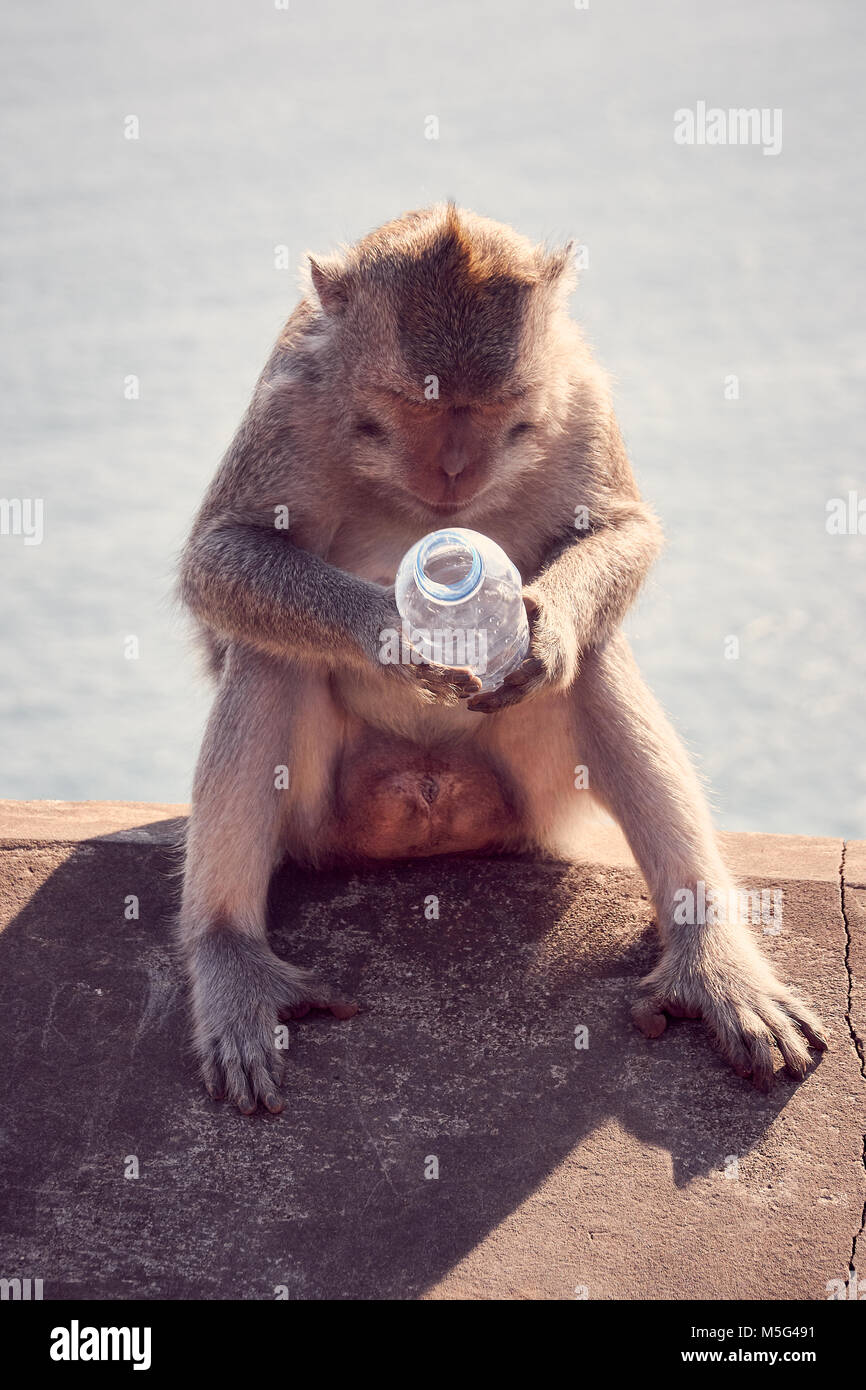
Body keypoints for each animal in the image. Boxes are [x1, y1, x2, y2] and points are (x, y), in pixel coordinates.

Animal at [177, 201, 828, 1112]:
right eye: (404, 401)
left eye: (501, 402)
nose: (452, 470)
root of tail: (422, 804)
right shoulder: (287, 402)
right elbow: (222, 557)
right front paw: (392, 628)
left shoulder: (579, 391)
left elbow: (622, 532)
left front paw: (545, 633)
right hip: (319, 820)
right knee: (269, 656)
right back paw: (229, 955)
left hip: (532, 804)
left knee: (597, 657)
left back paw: (711, 958)